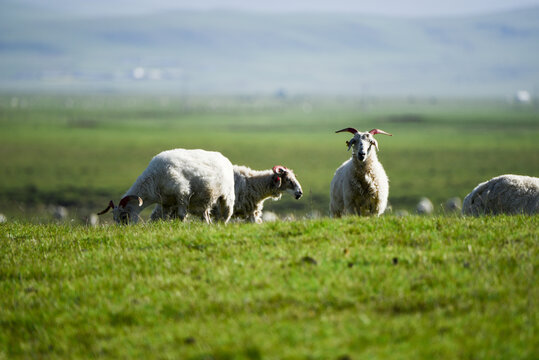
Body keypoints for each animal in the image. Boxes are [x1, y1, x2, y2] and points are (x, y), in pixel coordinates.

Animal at [96, 148, 234, 222]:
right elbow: (163, 218)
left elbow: (181, 215)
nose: (124, 230)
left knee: (226, 214)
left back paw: (221, 224)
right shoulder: (166, 203)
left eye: (124, 216)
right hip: (203, 202)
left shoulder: (182, 194)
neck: (153, 180)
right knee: (206, 216)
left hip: (227, 196)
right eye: (114, 218)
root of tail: (224, 158)